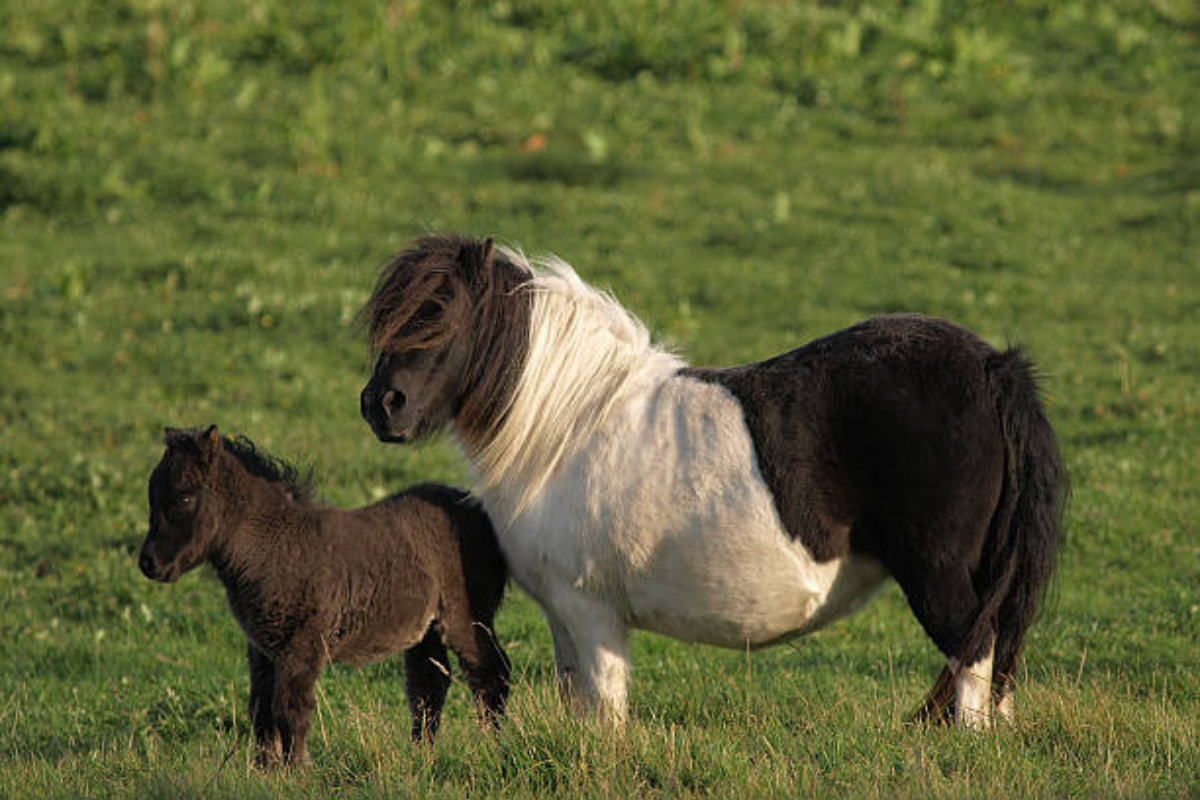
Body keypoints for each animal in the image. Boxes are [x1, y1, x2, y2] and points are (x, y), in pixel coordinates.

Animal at [357, 235, 1070, 729]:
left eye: (441, 320)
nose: (380, 406)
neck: (568, 424)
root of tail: (992, 367)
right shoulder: (563, 615)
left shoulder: (591, 612)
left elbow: (605, 714)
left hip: (940, 576)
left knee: (973, 661)